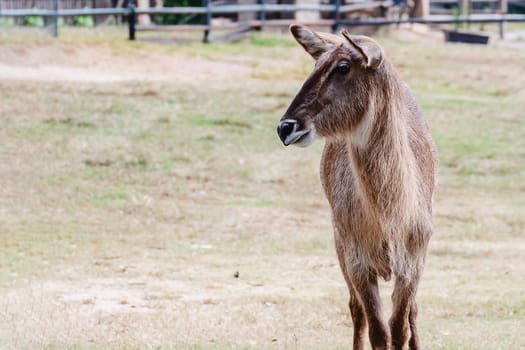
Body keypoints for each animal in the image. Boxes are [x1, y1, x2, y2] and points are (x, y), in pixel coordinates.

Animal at [276, 25, 436, 350]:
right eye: (316, 64)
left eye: (342, 67)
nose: (285, 127)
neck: (391, 216)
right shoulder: (358, 263)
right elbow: (378, 330)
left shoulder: (412, 265)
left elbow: (399, 327)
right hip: (340, 246)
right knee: (355, 309)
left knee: (412, 311)